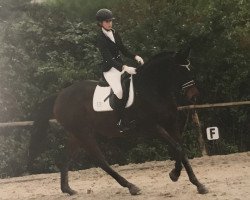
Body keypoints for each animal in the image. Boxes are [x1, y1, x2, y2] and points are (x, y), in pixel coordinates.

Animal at [28, 47, 209, 195]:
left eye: (189, 69)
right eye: (180, 71)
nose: (194, 96)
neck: (153, 90)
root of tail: (59, 95)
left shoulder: (171, 124)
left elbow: (181, 149)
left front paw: (193, 182)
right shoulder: (152, 127)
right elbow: (177, 148)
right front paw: (179, 176)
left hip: (76, 134)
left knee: (66, 158)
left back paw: (68, 189)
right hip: (84, 133)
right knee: (100, 161)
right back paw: (131, 186)